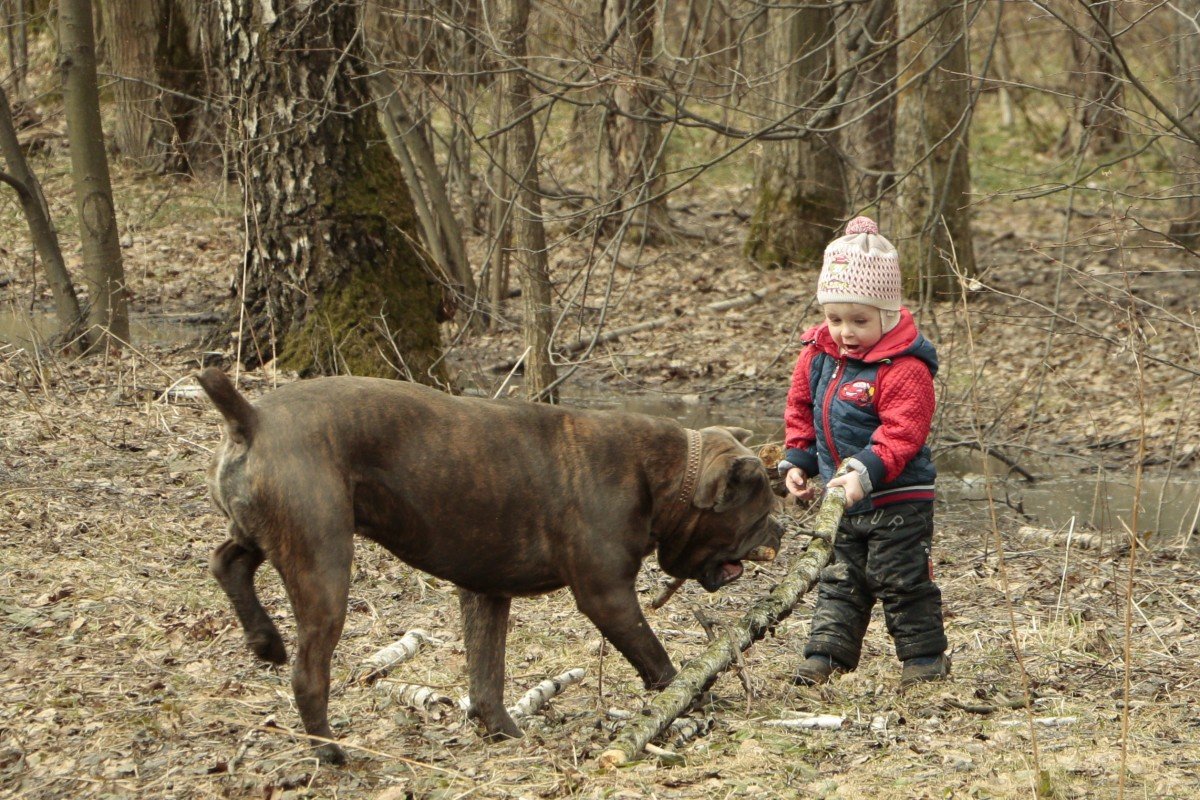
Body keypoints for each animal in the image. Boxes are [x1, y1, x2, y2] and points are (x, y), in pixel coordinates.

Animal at [196, 369, 782, 762]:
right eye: (760, 513)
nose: (779, 531)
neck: (661, 475)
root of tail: (252, 416)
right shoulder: (608, 597)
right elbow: (655, 657)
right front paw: (689, 700)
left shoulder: (485, 593)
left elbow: (487, 672)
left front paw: (501, 731)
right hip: (323, 565)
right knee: (308, 672)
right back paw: (329, 751)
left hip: (271, 534)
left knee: (227, 561)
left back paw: (264, 641)